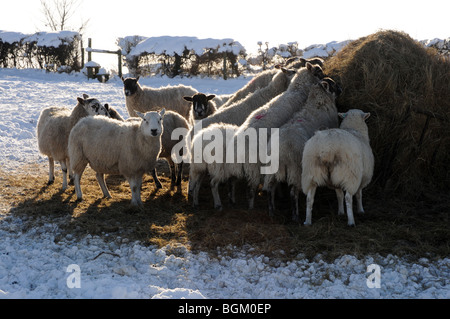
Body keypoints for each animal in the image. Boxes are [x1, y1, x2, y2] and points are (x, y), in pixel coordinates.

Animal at [262, 78, 340, 222]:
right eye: (333, 84)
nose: (341, 88)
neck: (318, 103)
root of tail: (281, 151)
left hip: (271, 170)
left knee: (270, 188)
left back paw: (271, 211)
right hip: (296, 170)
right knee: (293, 193)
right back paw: (295, 215)